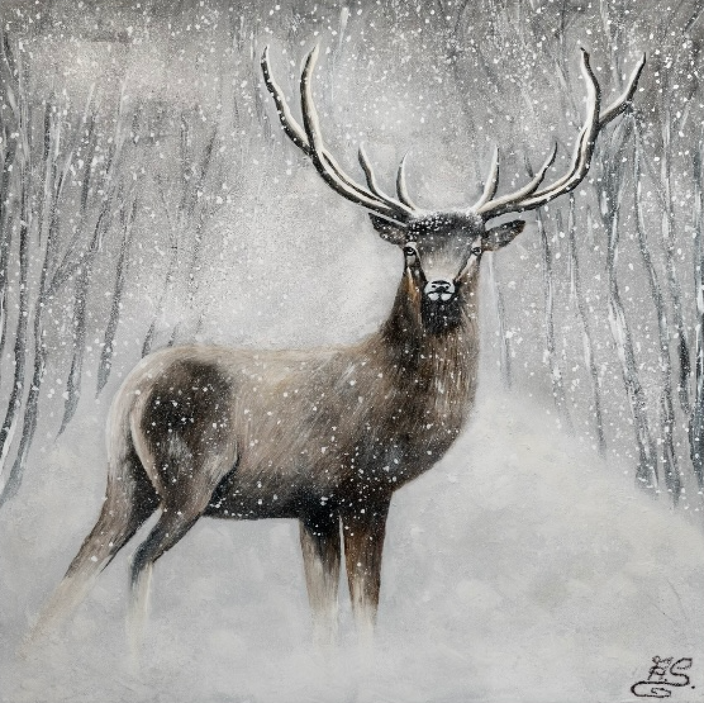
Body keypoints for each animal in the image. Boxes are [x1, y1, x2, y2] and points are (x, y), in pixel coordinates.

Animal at [31, 46, 644, 647]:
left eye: (473, 249)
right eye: (412, 250)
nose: (441, 287)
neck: (400, 401)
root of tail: (130, 391)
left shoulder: (314, 506)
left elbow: (324, 619)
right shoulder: (362, 487)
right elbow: (365, 609)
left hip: (125, 480)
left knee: (78, 568)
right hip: (188, 477)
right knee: (138, 562)